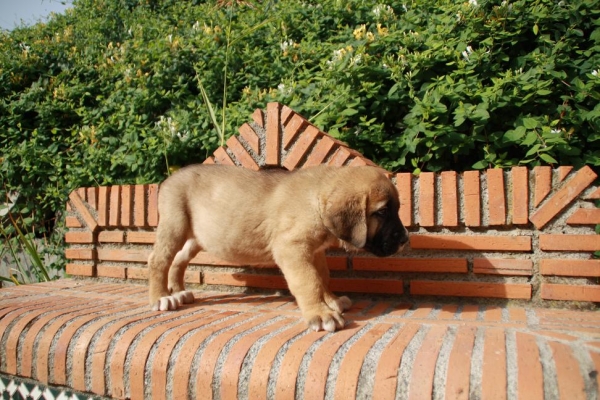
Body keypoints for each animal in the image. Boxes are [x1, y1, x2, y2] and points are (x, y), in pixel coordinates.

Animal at [148, 164, 408, 332]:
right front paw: (320, 313)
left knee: (179, 260)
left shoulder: (315, 252)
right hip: (175, 225)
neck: (316, 200)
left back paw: (179, 291)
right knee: (159, 260)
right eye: (382, 212)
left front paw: (331, 300)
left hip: (196, 238)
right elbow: (309, 281)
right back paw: (161, 297)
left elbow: (322, 277)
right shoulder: (291, 249)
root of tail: (169, 179)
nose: (405, 239)